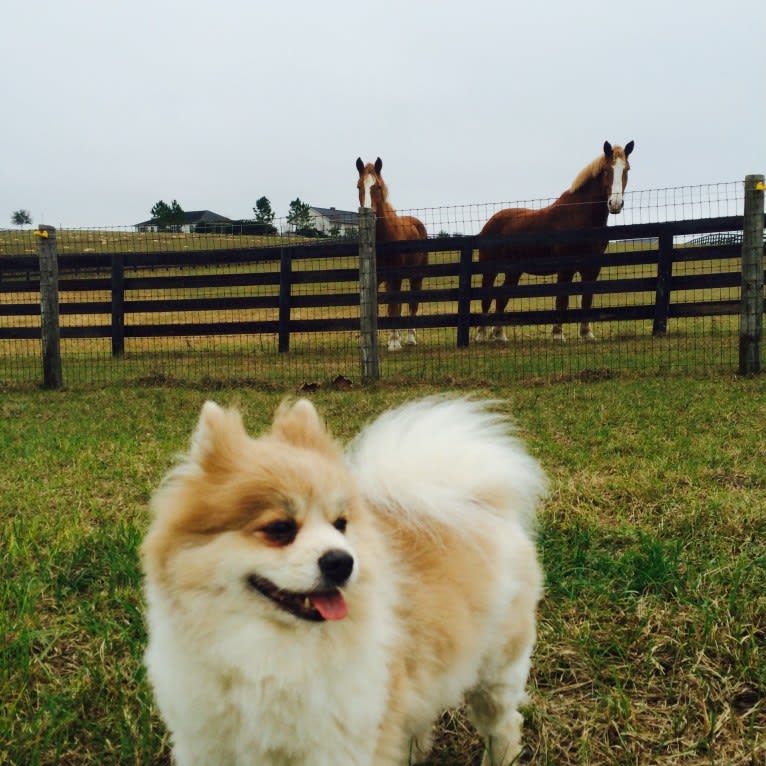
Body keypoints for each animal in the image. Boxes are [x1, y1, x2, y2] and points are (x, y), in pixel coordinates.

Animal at [141, 400, 548, 764]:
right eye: (280, 529)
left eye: (340, 524)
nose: (342, 561)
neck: (270, 651)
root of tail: (478, 502)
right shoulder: (209, 742)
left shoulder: (341, 743)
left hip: (496, 672)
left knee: (504, 725)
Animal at [356, 160, 428, 356]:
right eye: (359, 186)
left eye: (378, 186)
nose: (368, 213)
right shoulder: (375, 279)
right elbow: (375, 307)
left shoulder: (395, 277)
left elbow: (393, 307)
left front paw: (394, 343)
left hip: (415, 277)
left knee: (412, 303)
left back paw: (410, 338)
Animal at [480, 140, 636, 344]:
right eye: (606, 170)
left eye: (626, 169)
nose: (615, 204)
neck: (579, 216)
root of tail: (491, 221)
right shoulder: (565, 267)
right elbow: (562, 299)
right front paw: (557, 334)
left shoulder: (592, 267)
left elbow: (587, 298)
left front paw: (587, 334)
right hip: (490, 270)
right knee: (486, 298)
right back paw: (481, 335)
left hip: (513, 271)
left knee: (501, 298)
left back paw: (500, 335)